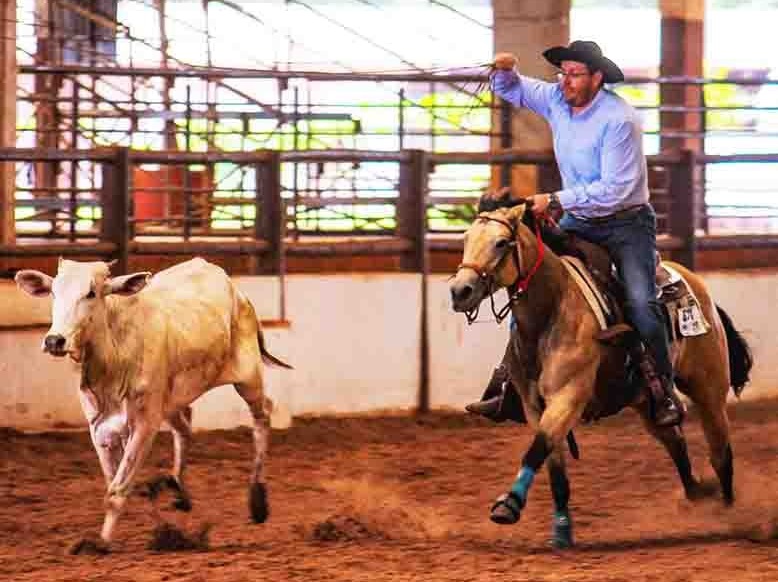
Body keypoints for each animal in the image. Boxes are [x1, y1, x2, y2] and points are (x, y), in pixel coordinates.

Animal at [15, 258, 292, 556]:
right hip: (172, 402)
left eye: (91, 293)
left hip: (248, 376)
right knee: (185, 427)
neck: (114, 354)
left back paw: (257, 500)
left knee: (262, 415)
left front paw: (99, 543)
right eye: (54, 292)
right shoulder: (100, 429)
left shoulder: (145, 423)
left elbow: (118, 488)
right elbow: (115, 481)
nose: (54, 340)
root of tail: (238, 293)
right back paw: (178, 490)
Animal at [448, 197, 752, 552]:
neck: (551, 309)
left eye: (500, 243)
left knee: (721, 452)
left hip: (709, 390)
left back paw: (729, 513)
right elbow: (554, 468)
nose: (460, 291)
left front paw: (508, 505)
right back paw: (697, 493)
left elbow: (537, 448)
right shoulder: (534, 407)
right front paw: (562, 530)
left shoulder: (568, 397)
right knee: (675, 442)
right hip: (645, 402)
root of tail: (699, 288)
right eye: (466, 238)